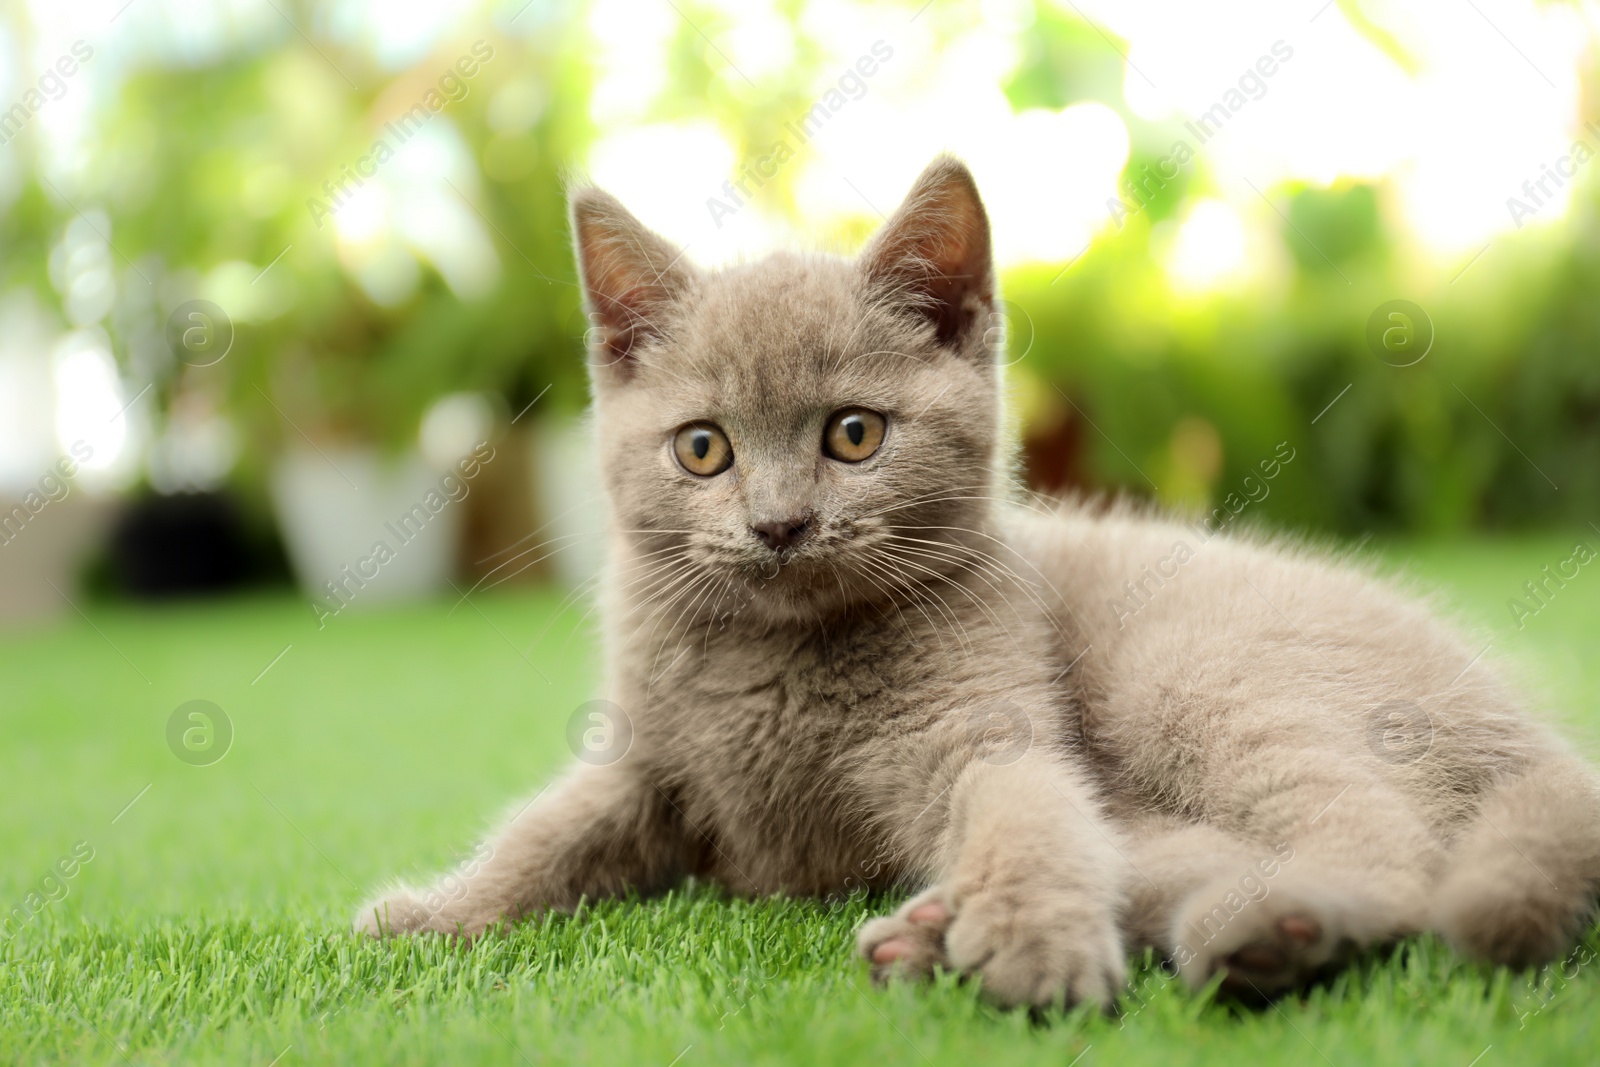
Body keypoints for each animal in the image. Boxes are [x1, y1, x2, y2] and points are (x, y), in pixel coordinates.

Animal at [360, 154, 1600, 1004]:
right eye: (702, 448)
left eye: (853, 433)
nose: (778, 523)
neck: (780, 664)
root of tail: (1529, 731)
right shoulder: (644, 758)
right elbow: (550, 830)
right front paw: (432, 911)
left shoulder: (981, 722)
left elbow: (1025, 808)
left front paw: (1034, 941)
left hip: (1191, 670)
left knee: (1391, 850)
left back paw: (1264, 925)